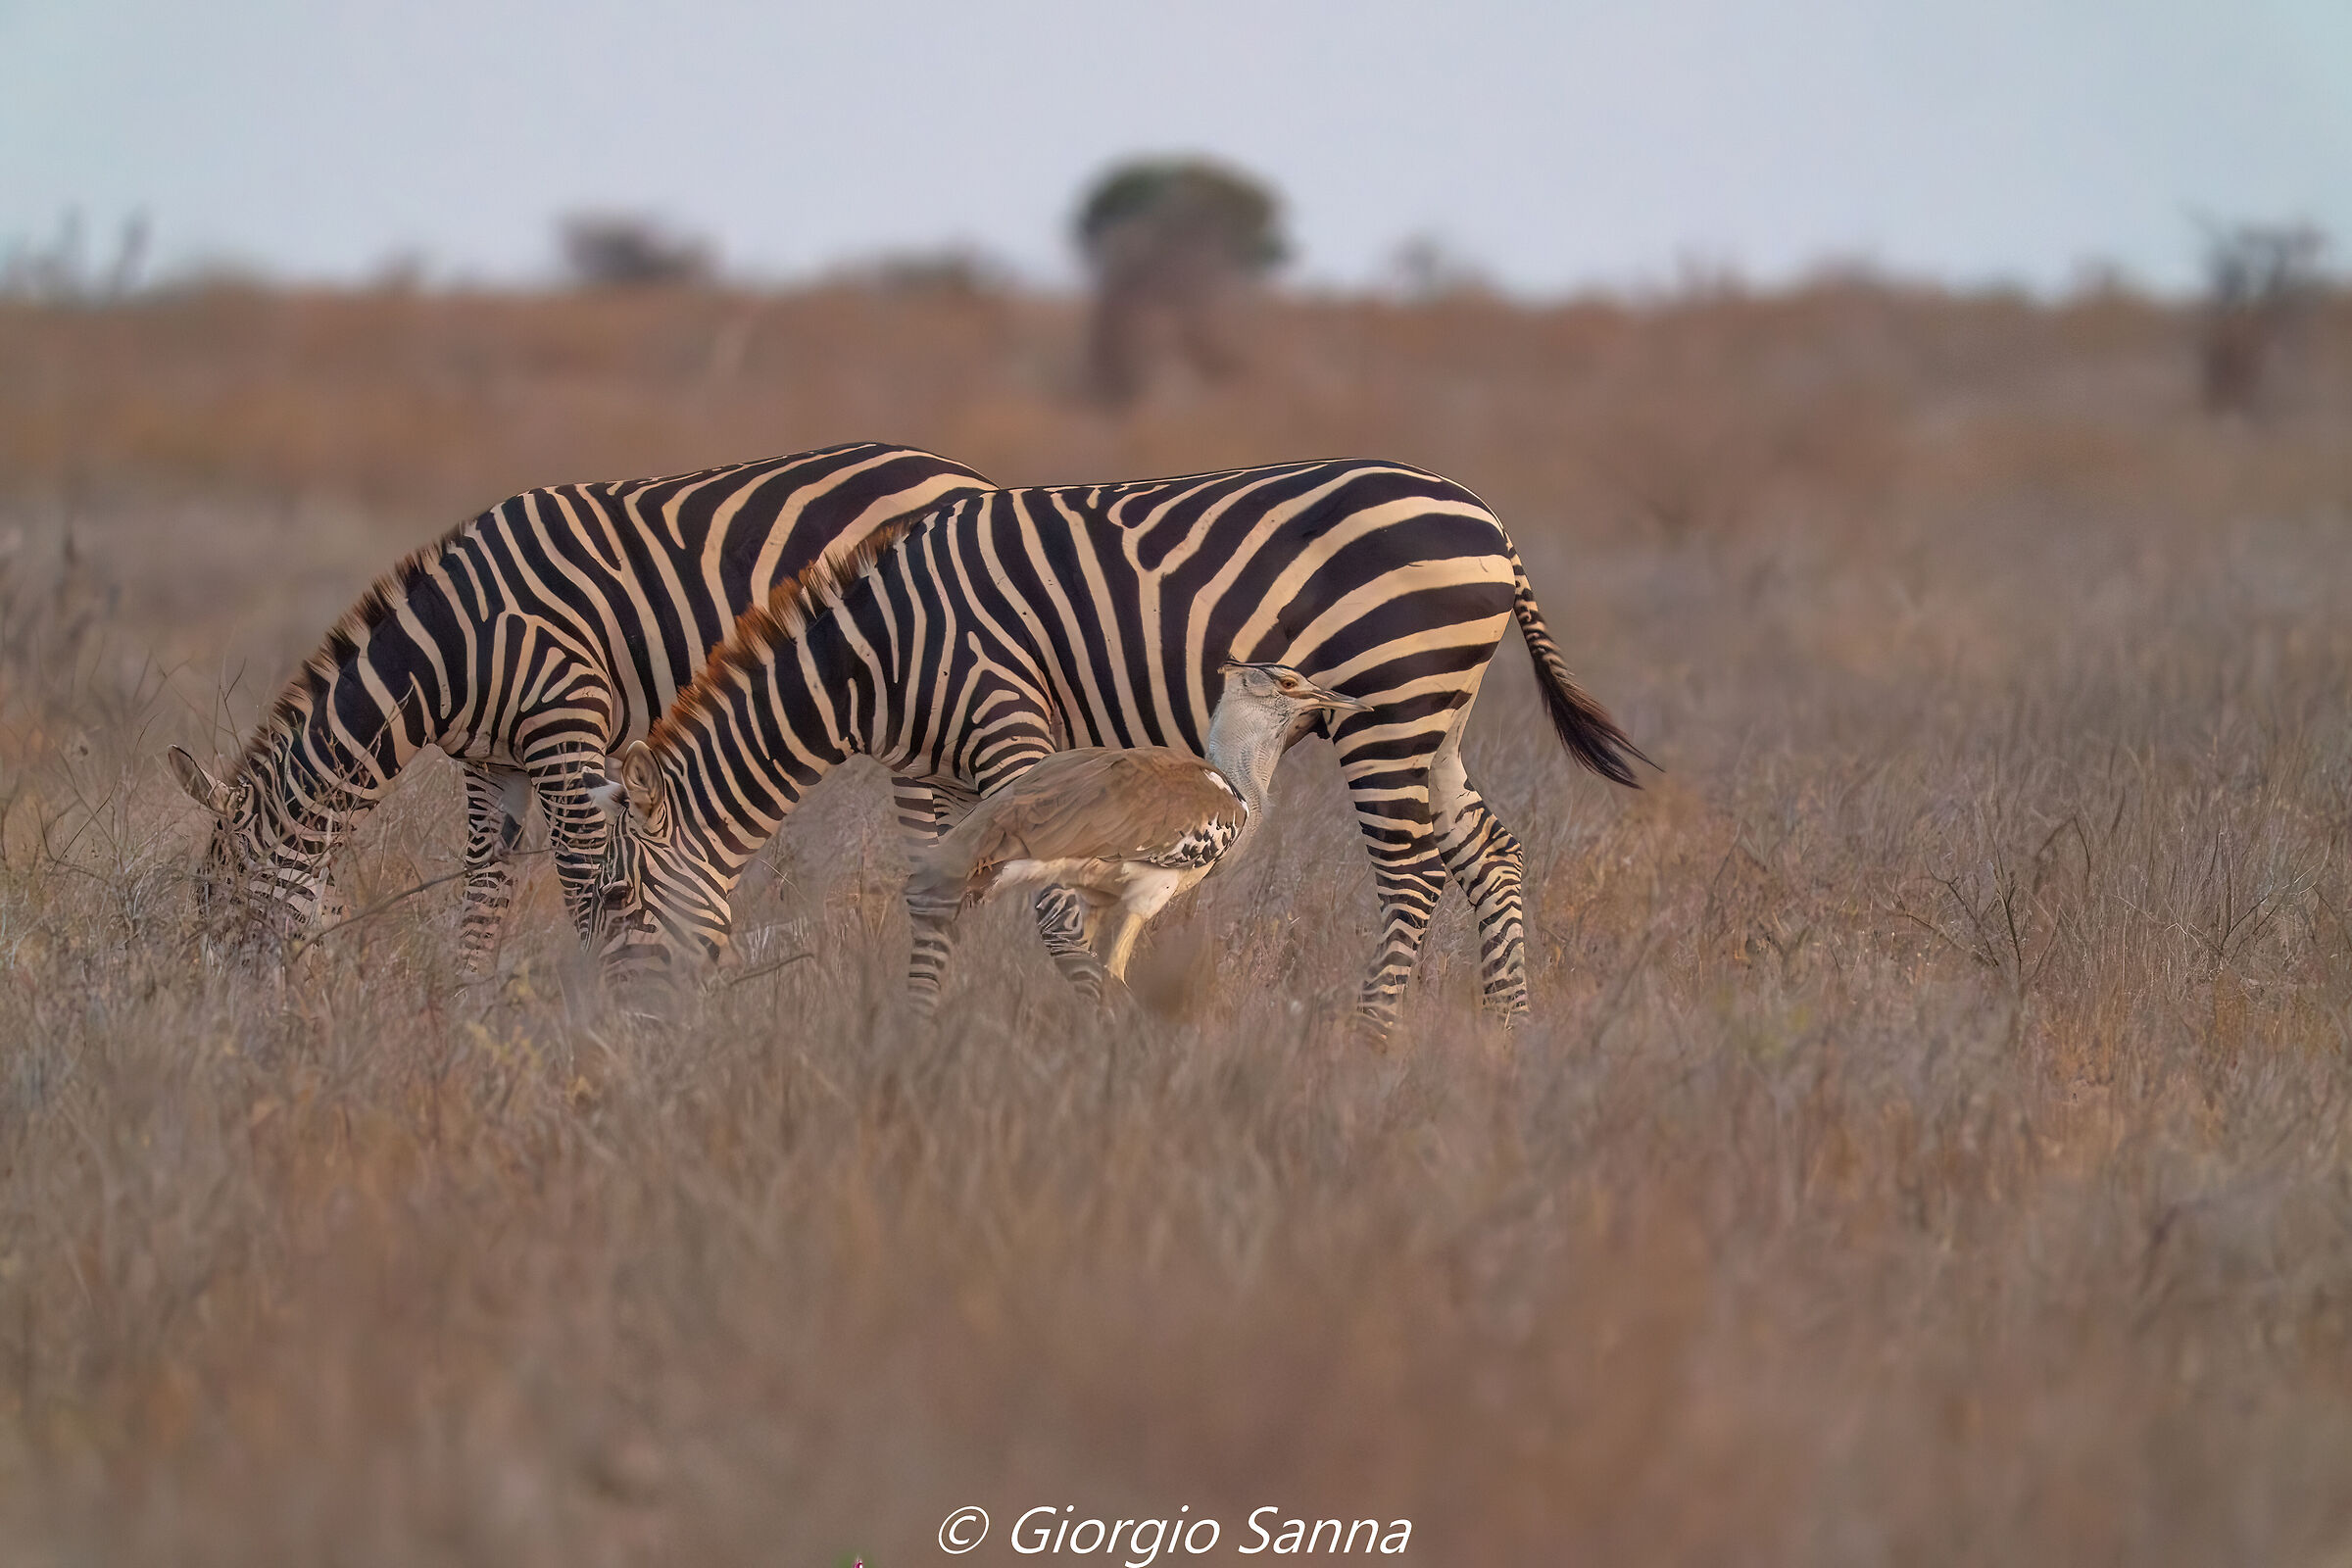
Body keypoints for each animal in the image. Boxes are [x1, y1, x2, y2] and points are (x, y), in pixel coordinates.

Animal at [164, 442, 993, 968]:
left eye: (219, 903)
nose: (218, 1018)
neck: (451, 644)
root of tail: (965, 475)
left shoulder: (565, 731)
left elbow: (584, 885)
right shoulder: (491, 765)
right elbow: (483, 899)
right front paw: (461, 1020)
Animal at [587, 458, 1648, 1034]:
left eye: (613, 898)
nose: (624, 1040)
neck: (876, 656)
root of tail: (1486, 519)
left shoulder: (1007, 723)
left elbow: (1055, 910)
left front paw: (1107, 1026)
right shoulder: (930, 773)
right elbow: (934, 896)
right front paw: (918, 1032)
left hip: (1389, 705)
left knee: (1411, 873)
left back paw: (1373, 1035)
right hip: (1437, 721)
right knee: (1492, 855)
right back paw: (1508, 1030)